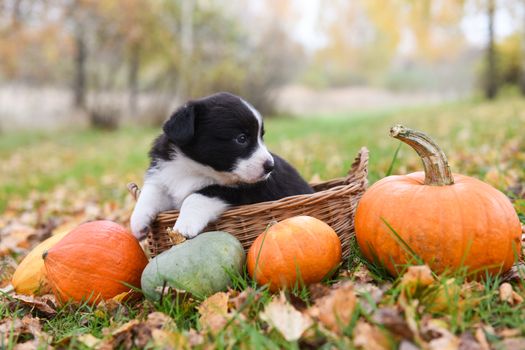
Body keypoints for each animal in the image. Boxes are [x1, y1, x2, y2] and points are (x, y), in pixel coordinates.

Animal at [129, 91, 314, 239]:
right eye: (241, 138)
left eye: (261, 137)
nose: (270, 166)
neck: (194, 168)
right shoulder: (163, 173)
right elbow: (149, 194)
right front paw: (137, 224)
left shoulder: (236, 191)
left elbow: (197, 195)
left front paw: (184, 226)